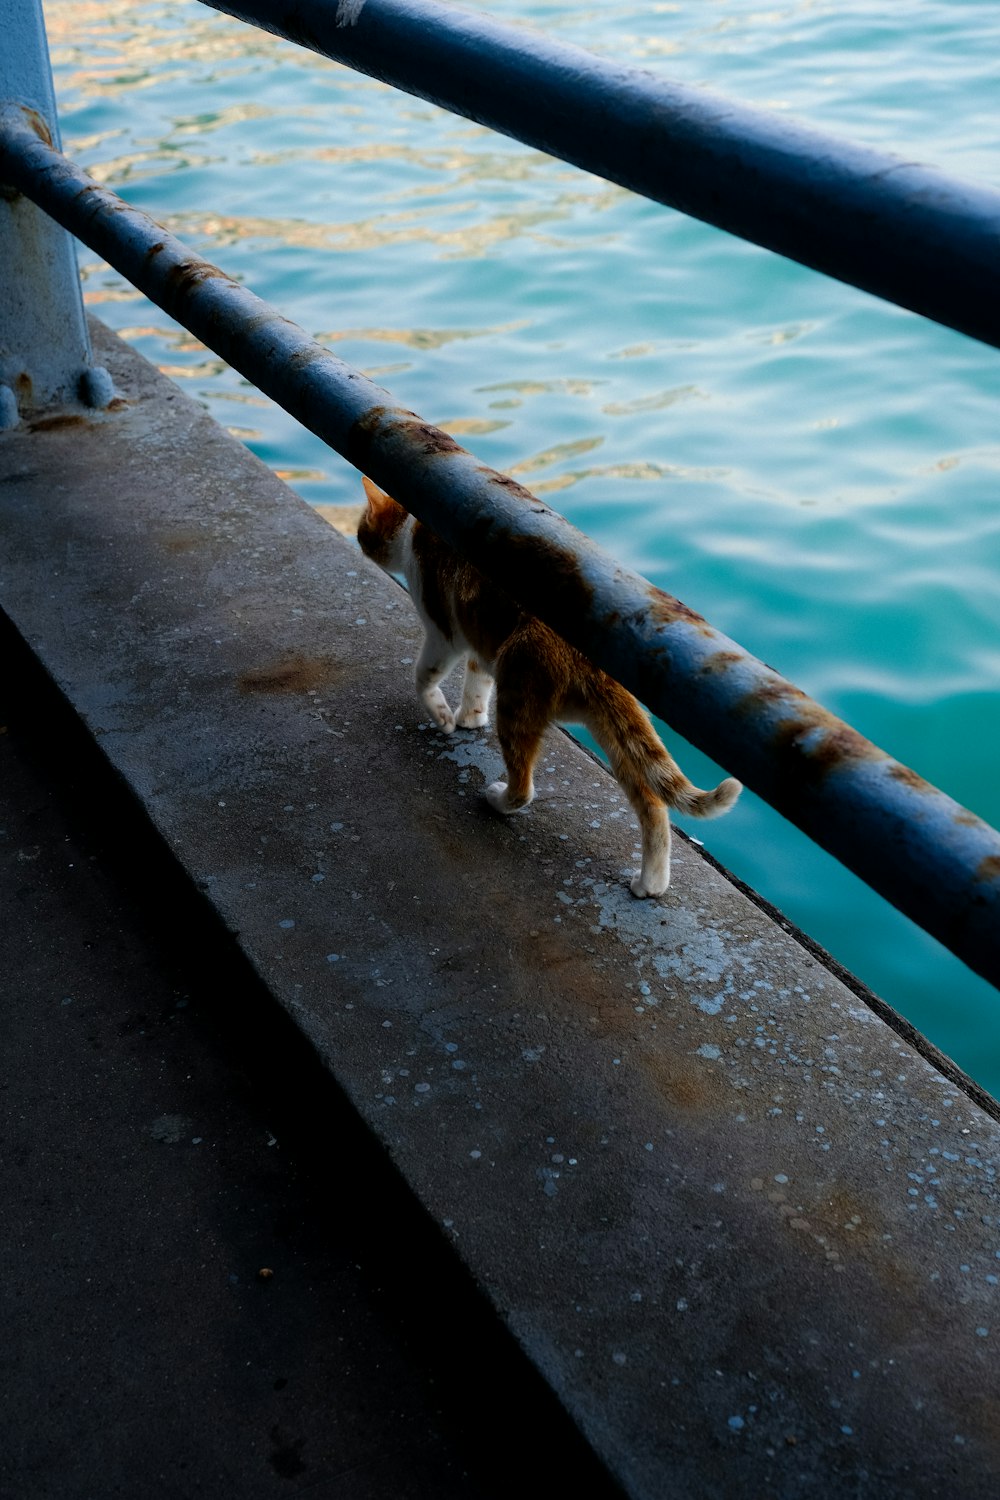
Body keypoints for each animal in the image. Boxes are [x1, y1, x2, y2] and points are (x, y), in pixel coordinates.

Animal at [355, 474, 740, 894]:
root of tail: (594, 662)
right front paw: (469, 718)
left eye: (361, 528)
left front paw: (442, 716)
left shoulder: (444, 632)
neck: (416, 524)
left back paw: (499, 800)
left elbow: (424, 677)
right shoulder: (482, 640)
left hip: (517, 693)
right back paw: (650, 883)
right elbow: (476, 683)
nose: (356, 539)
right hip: (609, 732)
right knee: (653, 807)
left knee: (525, 786)